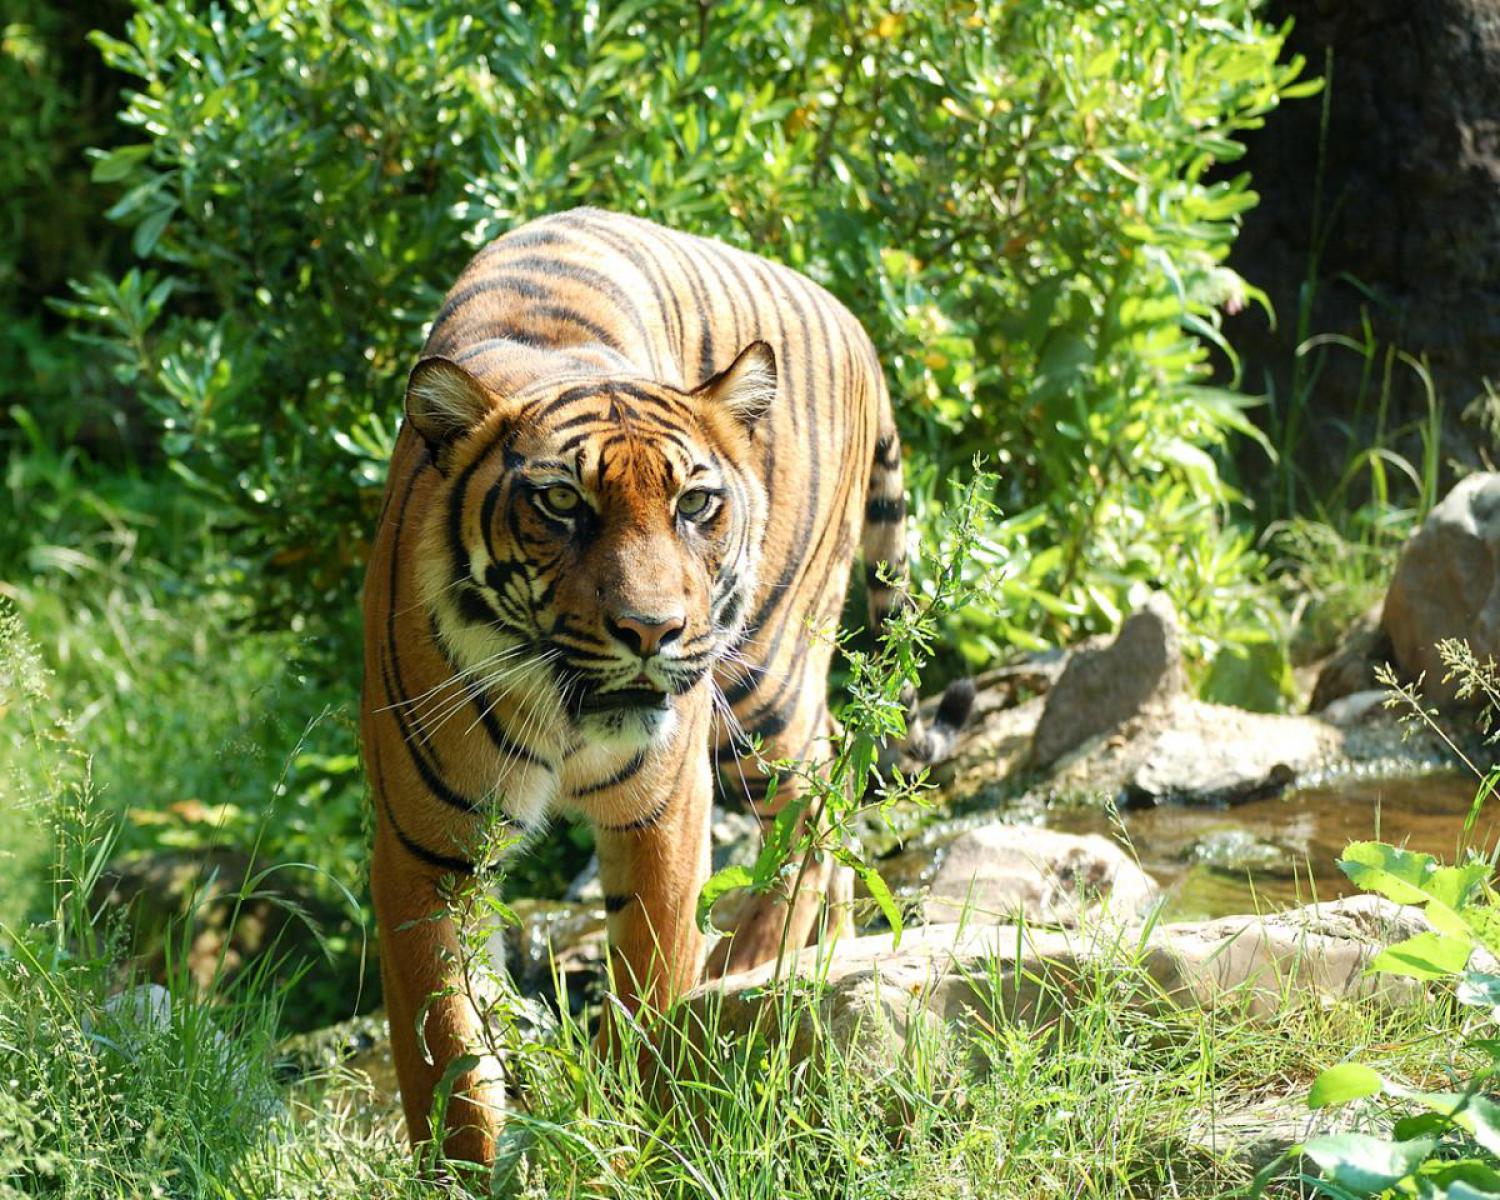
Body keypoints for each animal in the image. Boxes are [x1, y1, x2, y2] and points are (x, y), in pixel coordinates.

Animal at [361, 208, 972, 1164]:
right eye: (562, 505)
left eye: (695, 505)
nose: (652, 631)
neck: (564, 712)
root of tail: (853, 320)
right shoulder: (426, 849)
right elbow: (446, 1050)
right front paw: (464, 1167)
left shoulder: (661, 813)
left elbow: (649, 985)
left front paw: (632, 1136)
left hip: (762, 675)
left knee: (813, 799)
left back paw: (751, 968)